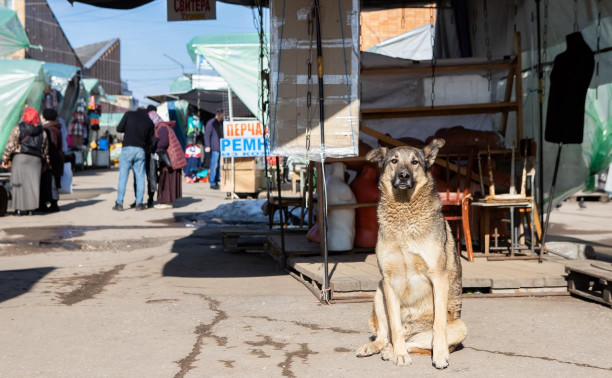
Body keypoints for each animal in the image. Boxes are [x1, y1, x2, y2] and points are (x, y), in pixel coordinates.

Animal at [356, 139, 466, 370]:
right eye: (394, 161)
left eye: (415, 162)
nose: (404, 175)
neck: (405, 209)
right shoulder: (388, 281)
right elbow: (394, 326)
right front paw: (399, 355)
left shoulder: (438, 277)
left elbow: (438, 326)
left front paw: (440, 356)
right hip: (378, 292)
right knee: (386, 335)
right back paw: (380, 347)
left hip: (460, 327)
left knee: (416, 340)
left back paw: (394, 350)